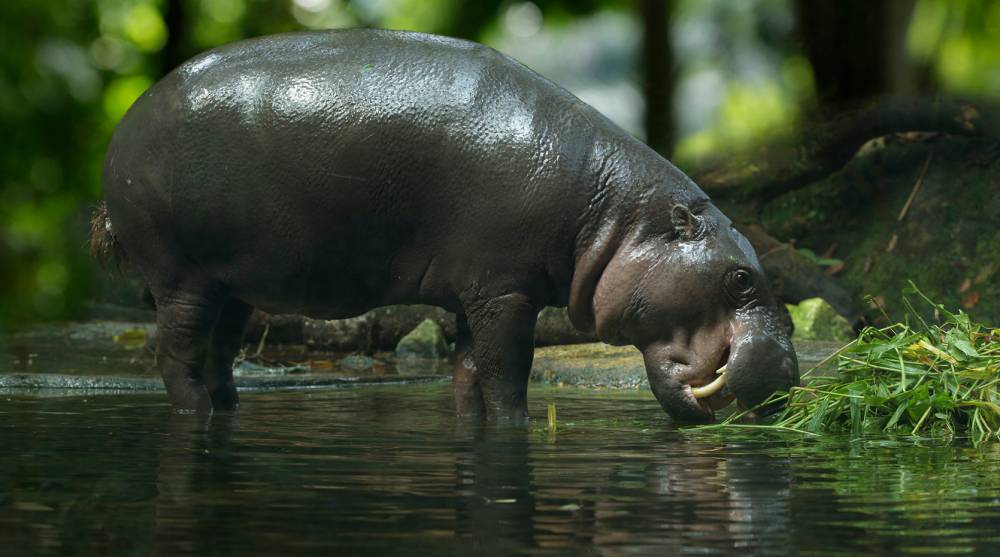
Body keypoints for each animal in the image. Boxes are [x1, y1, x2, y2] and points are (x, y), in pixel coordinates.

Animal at [91, 29, 798, 422]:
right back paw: (194, 415)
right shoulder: (505, 291)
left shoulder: (473, 295)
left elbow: (468, 375)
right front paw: (515, 427)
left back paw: (228, 410)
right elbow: (508, 373)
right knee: (176, 354)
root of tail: (121, 128)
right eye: (741, 278)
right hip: (181, 277)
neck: (613, 217)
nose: (791, 375)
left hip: (237, 283)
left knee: (220, 352)